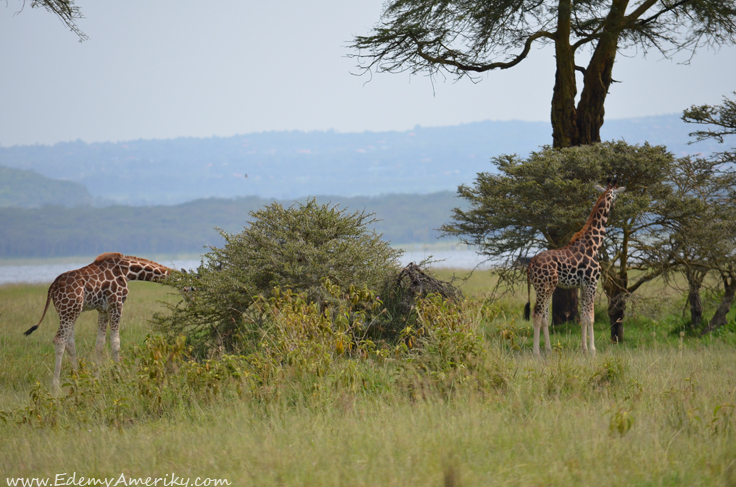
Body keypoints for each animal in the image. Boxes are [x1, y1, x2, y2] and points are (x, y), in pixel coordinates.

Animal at [23, 255, 174, 388]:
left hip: (69, 311)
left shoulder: (103, 310)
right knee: (59, 340)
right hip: (69, 310)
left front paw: (97, 378)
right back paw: (56, 386)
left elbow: (100, 344)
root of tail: (52, 287)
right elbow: (115, 343)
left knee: (70, 343)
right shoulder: (116, 305)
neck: (127, 271)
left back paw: (77, 379)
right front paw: (120, 378)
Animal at [524, 181, 628, 356]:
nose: (615, 205)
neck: (593, 243)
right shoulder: (592, 283)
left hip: (542, 288)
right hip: (545, 287)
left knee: (544, 316)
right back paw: (536, 352)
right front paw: (593, 350)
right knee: (537, 314)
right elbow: (590, 317)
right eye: (616, 195)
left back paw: (549, 350)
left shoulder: (584, 285)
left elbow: (584, 317)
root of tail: (531, 264)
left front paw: (584, 349)